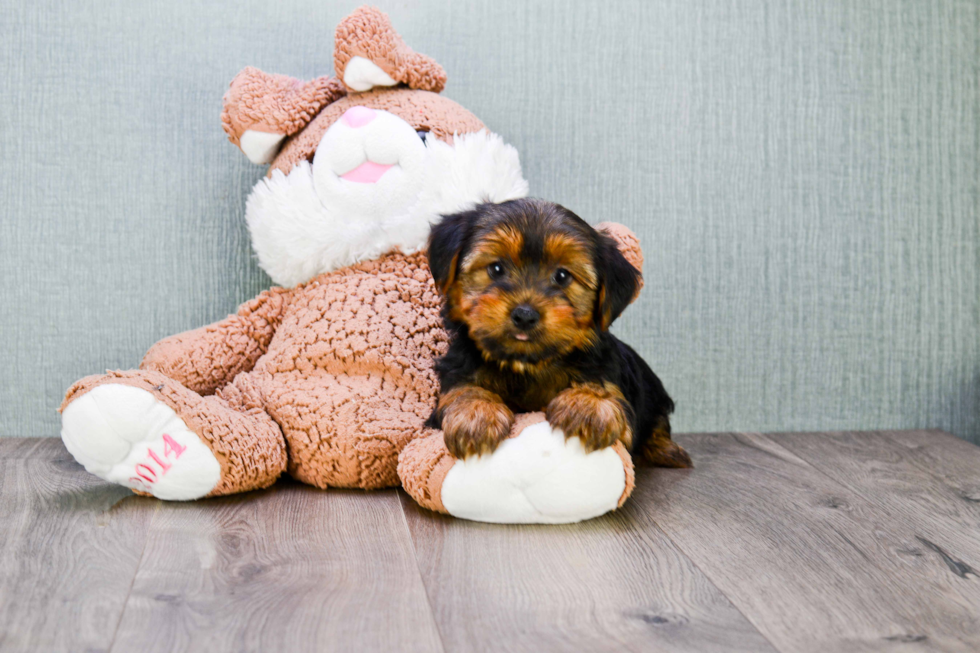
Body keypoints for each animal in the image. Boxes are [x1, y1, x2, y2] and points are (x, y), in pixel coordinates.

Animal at [424, 196, 692, 466]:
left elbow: (602, 389)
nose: (525, 315)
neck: (528, 365)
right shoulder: (456, 373)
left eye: (562, 276)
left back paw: (667, 450)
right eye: (496, 269)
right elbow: (462, 389)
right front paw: (476, 414)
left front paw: (587, 404)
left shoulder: (613, 387)